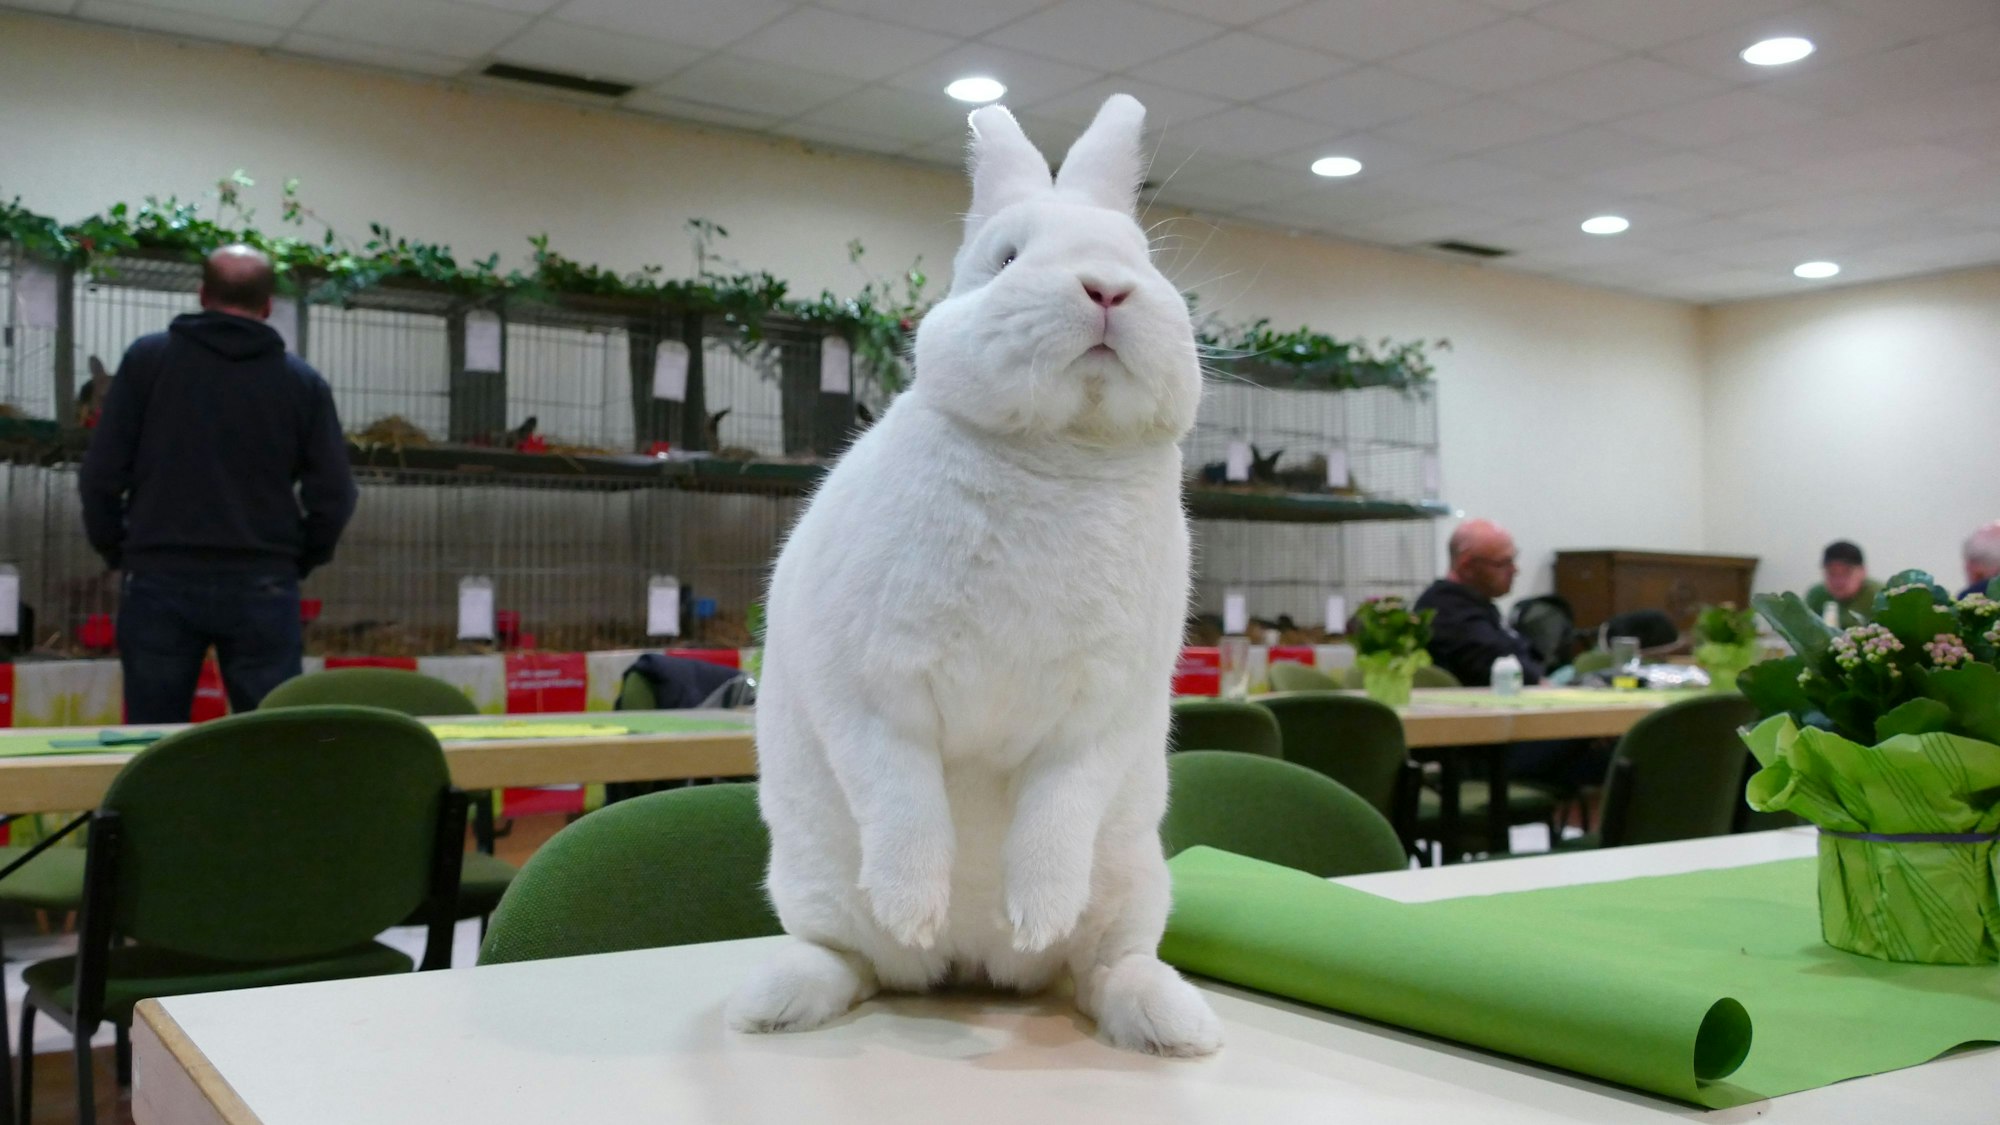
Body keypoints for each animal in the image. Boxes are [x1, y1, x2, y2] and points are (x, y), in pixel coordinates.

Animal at [725, 94, 1220, 1057]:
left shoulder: (1103, 712)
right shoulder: (873, 687)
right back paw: (781, 995)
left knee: (1102, 967)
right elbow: (901, 793)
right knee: (851, 958)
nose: (1107, 289)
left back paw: (1169, 1018)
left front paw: (1040, 909)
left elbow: (1060, 808)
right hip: (810, 881)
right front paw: (913, 902)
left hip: (1135, 883)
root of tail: (973, 969)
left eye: (1141, 258)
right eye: (1008, 257)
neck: (1058, 455)